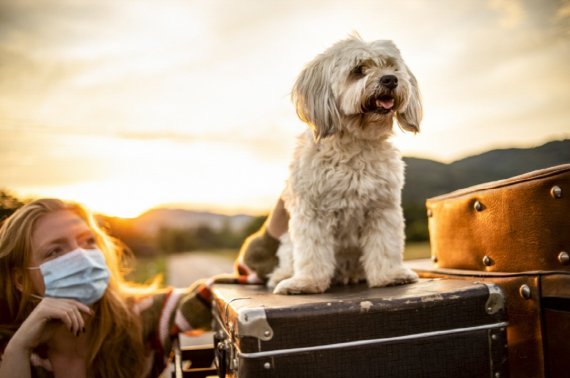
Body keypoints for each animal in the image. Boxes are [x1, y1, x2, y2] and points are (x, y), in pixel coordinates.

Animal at [268, 35, 420, 294]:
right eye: (358, 70)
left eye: (392, 67)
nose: (390, 79)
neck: (355, 142)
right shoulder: (312, 212)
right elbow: (312, 251)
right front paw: (307, 282)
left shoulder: (382, 208)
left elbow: (385, 244)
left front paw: (390, 275)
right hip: (288, 242)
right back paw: (283, 275)